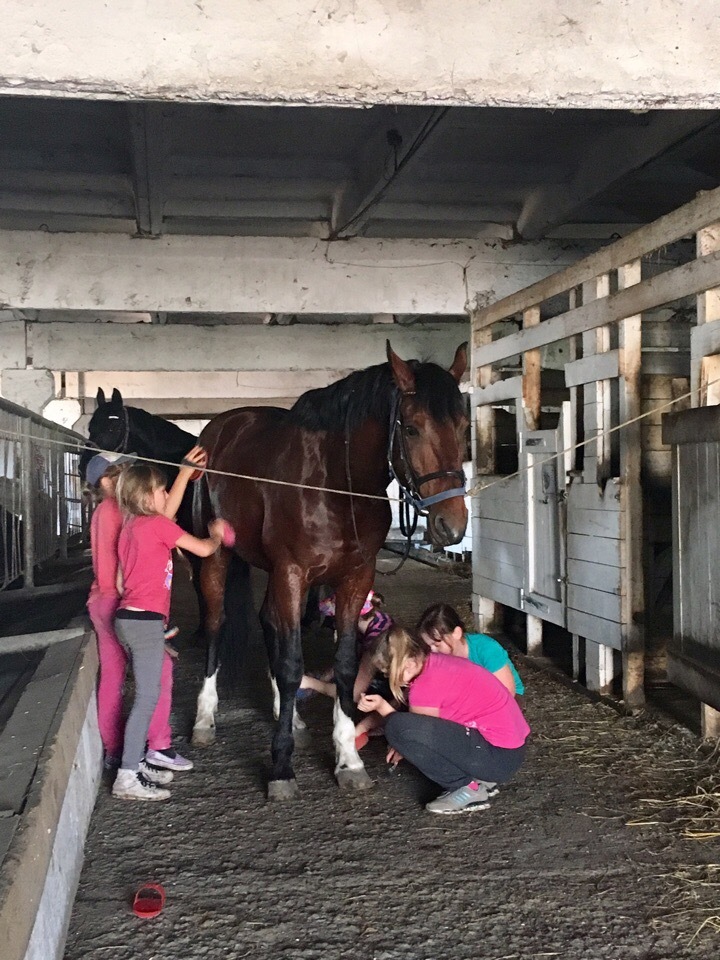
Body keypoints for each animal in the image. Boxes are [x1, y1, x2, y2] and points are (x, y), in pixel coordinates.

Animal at [193, 342, 466, 800]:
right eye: (411, 429)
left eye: (464, 425)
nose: (453, 526)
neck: (335, 483)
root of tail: (217, 430)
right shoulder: (291, 572)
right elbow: (291, 666)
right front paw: (281, 767)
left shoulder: (355, 578)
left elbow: (343, 666)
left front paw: (348, 758)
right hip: (217, 557)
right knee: (216, 625)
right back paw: (204, 717)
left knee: (269, 623)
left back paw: (291, 718)